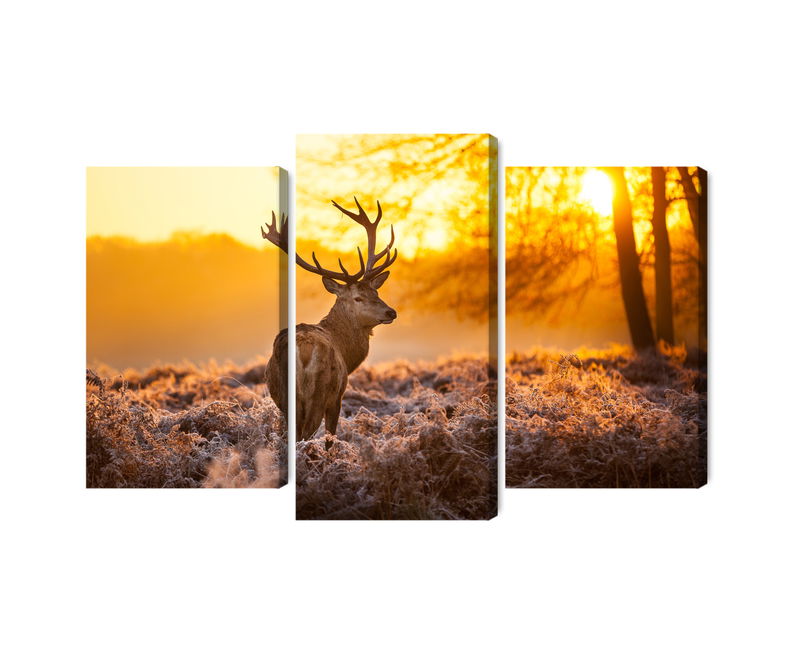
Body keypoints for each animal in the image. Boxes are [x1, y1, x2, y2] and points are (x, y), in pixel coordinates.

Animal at [262, 197, 398, 441]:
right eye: (358, 297)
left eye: (376, 292)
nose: (391, 312)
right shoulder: (337, 397)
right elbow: (330, 439)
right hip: (319, 393)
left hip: (285, 398)